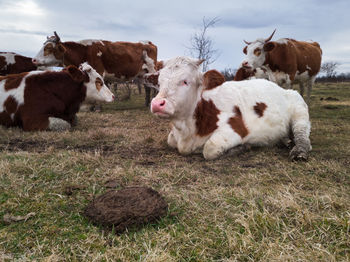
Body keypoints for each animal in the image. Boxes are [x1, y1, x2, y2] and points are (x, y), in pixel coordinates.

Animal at [150, 56, 312, 161]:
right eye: (159, 82)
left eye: (185, 81)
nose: (157, 104)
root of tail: (281, 88)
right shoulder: (174, 137)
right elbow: (170, 140)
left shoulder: (235, 129)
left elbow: (209, 149)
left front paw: (242, 147)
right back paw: (285, 140)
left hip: (300, 108)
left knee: (302, 134)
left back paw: (299, 151)